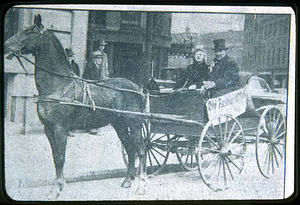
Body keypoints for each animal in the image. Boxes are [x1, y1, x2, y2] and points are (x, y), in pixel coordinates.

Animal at [5, 14, 148, 199]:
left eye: (29, 31)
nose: (6, 45)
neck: (57, 85)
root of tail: (138, 89)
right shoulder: (48, 128)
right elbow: (55, 157)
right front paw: (58, 185)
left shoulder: (60, 128)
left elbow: (60, 157)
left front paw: (57, 188)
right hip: (120, 124)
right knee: (130, 148)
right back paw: (127, 180)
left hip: (134, 123)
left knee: (141, 150)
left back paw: (141, 185)